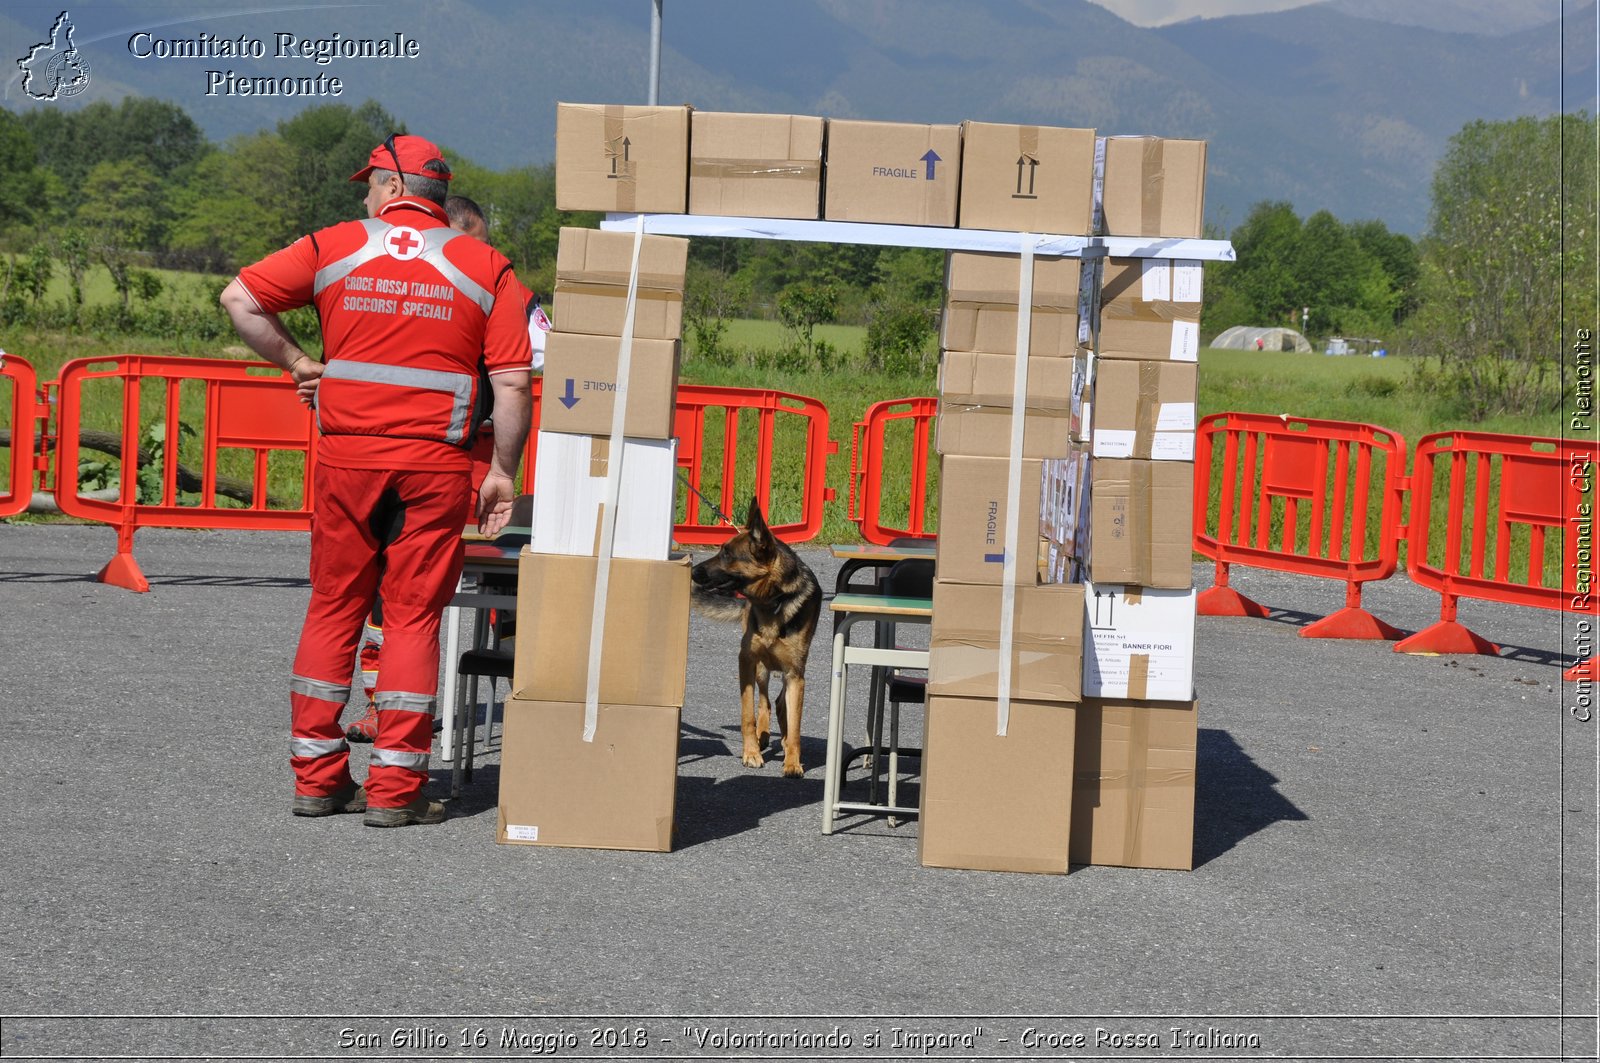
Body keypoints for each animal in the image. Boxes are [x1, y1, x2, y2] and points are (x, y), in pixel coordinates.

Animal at [694, 493, 825, 778]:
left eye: (726, 554)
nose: (694, 571)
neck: (773, 601)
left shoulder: (795, 674)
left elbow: (795, 726)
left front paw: (792, 762)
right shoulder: (746, 660)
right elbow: (748, 714)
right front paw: (751, 753)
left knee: (779, 703)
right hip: (760, 668)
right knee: (765, 700)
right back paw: (762, 736)